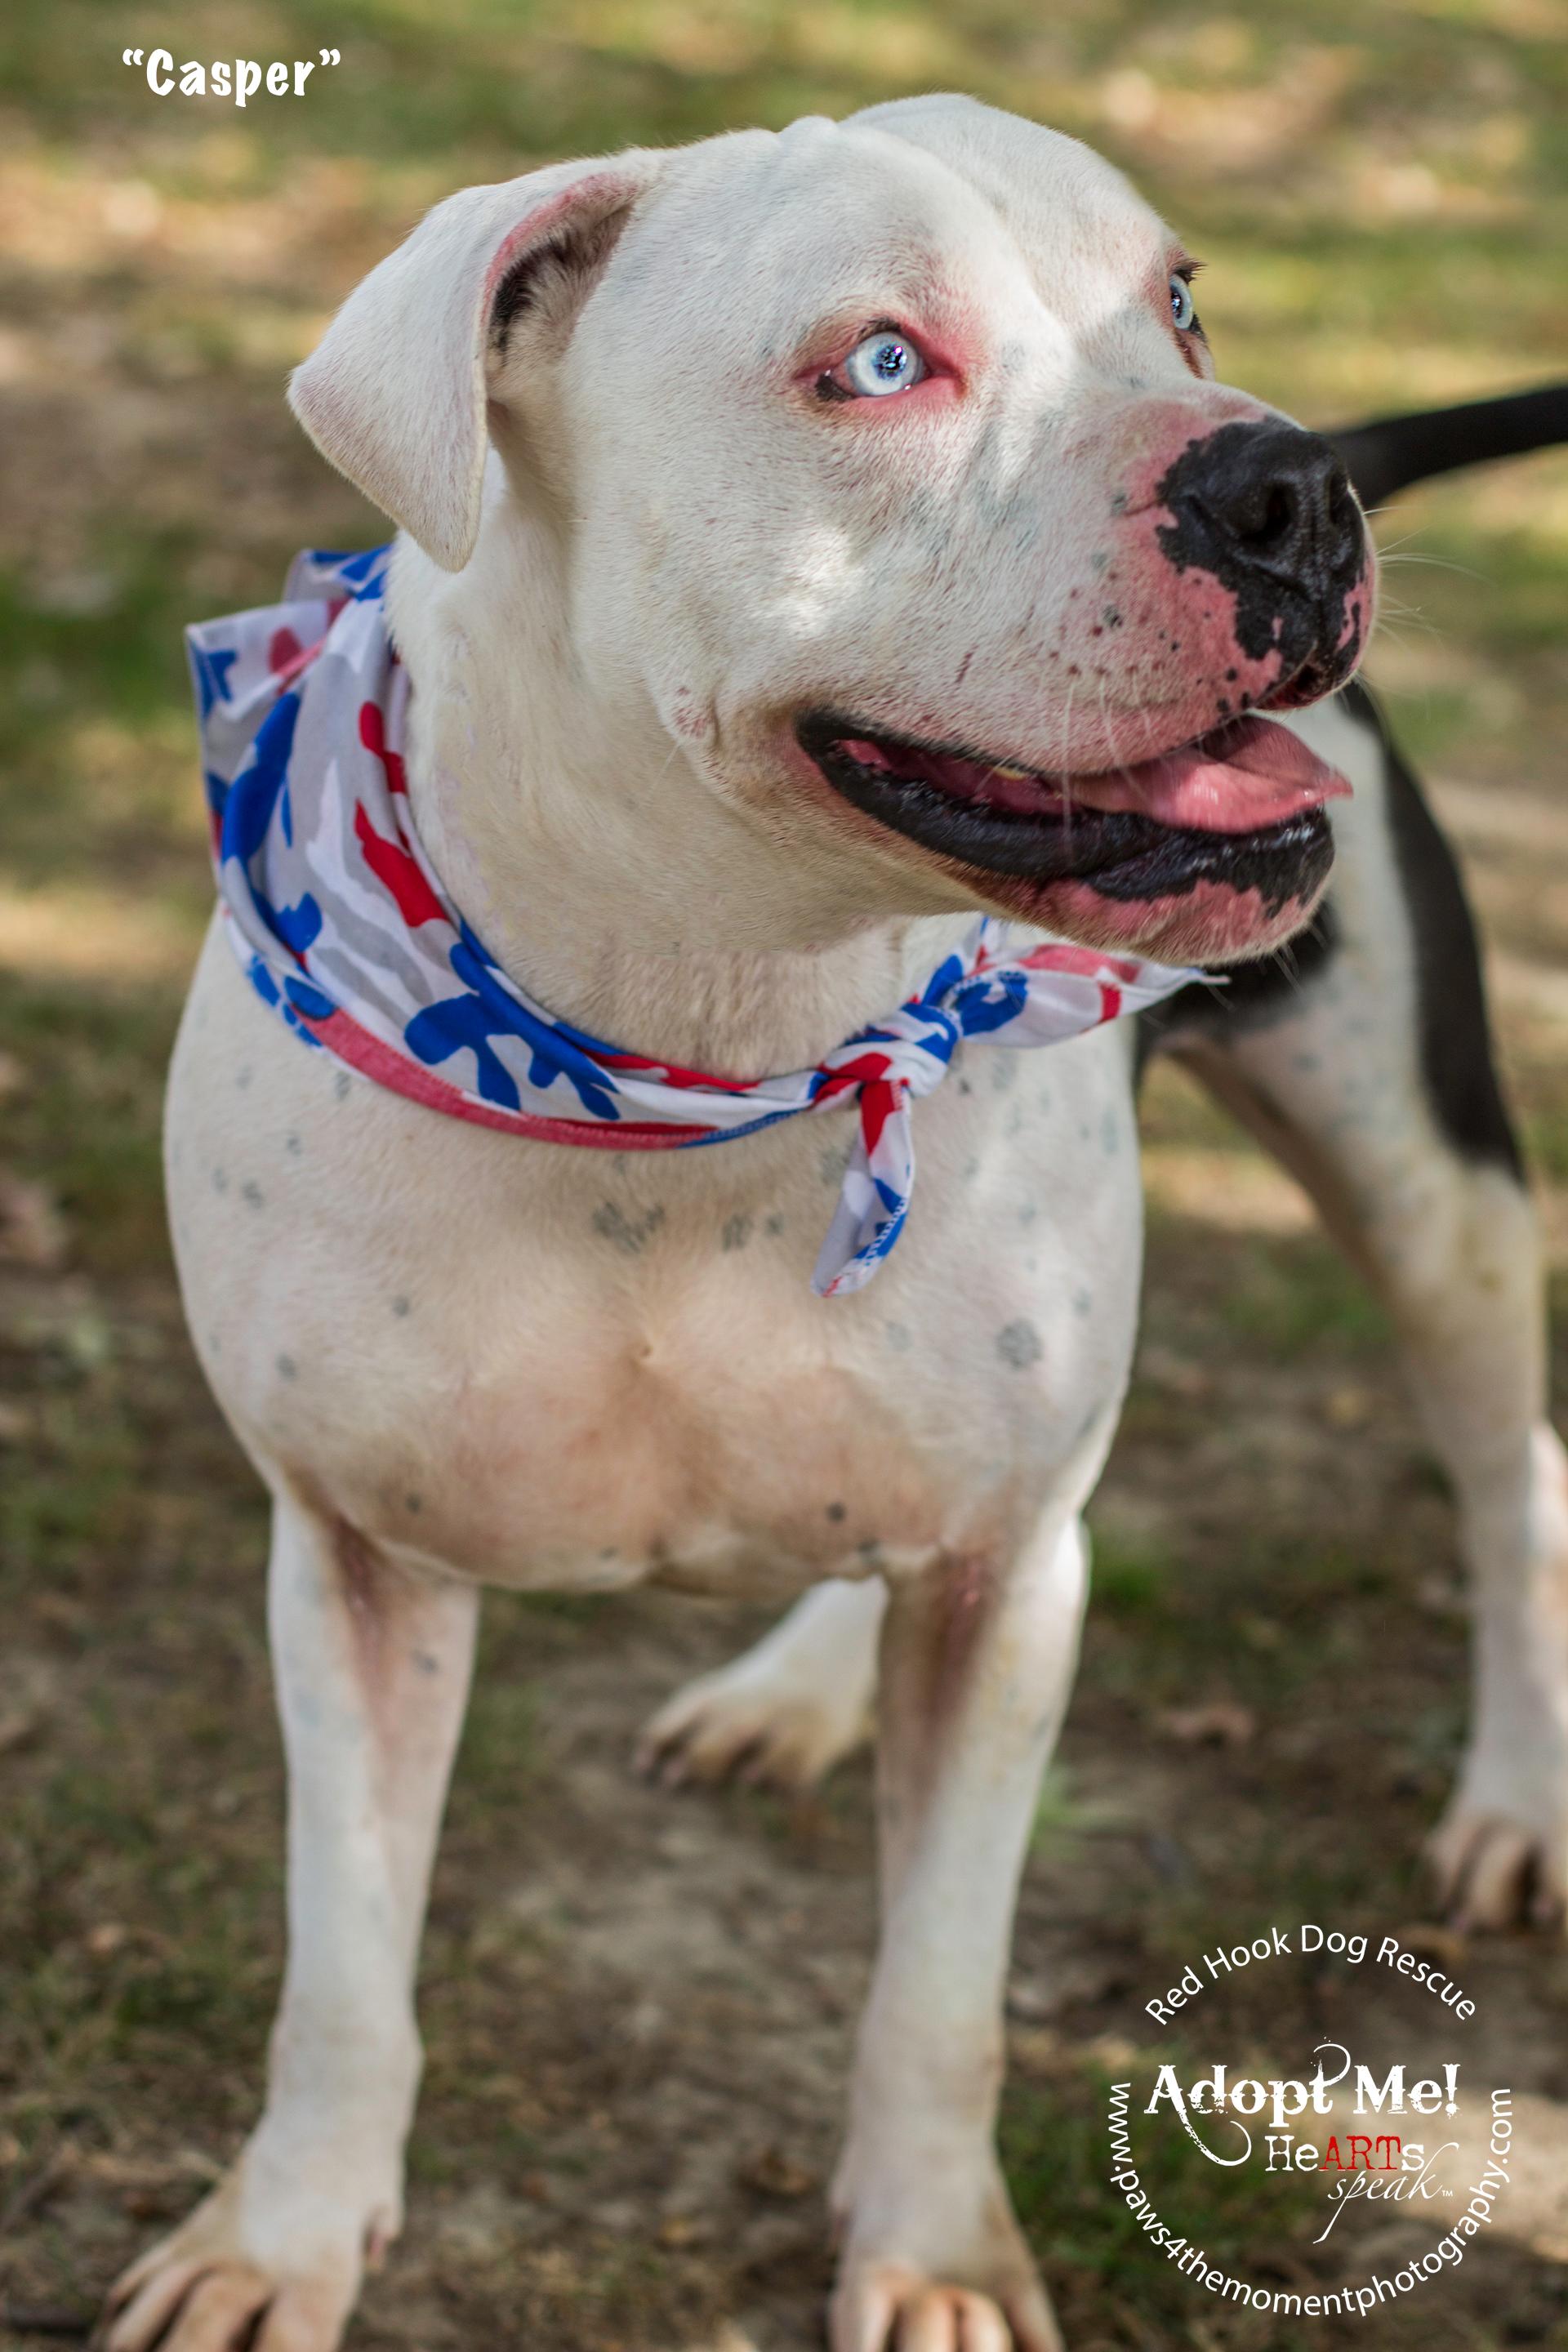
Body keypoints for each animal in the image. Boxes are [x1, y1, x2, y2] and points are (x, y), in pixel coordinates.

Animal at [110, 91, 1568, 2352]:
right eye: (877, 364)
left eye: (1180, 301)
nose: (1286, 479)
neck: (718, 1032)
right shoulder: (352, 1563)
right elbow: (342, 1962)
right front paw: (278, 2237)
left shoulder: (1011, 1578)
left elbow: (940, 1986)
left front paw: (935, 2254)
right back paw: (794, 1687)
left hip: (1426, 1177)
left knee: (1511, 1478)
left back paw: (1512, 1788)